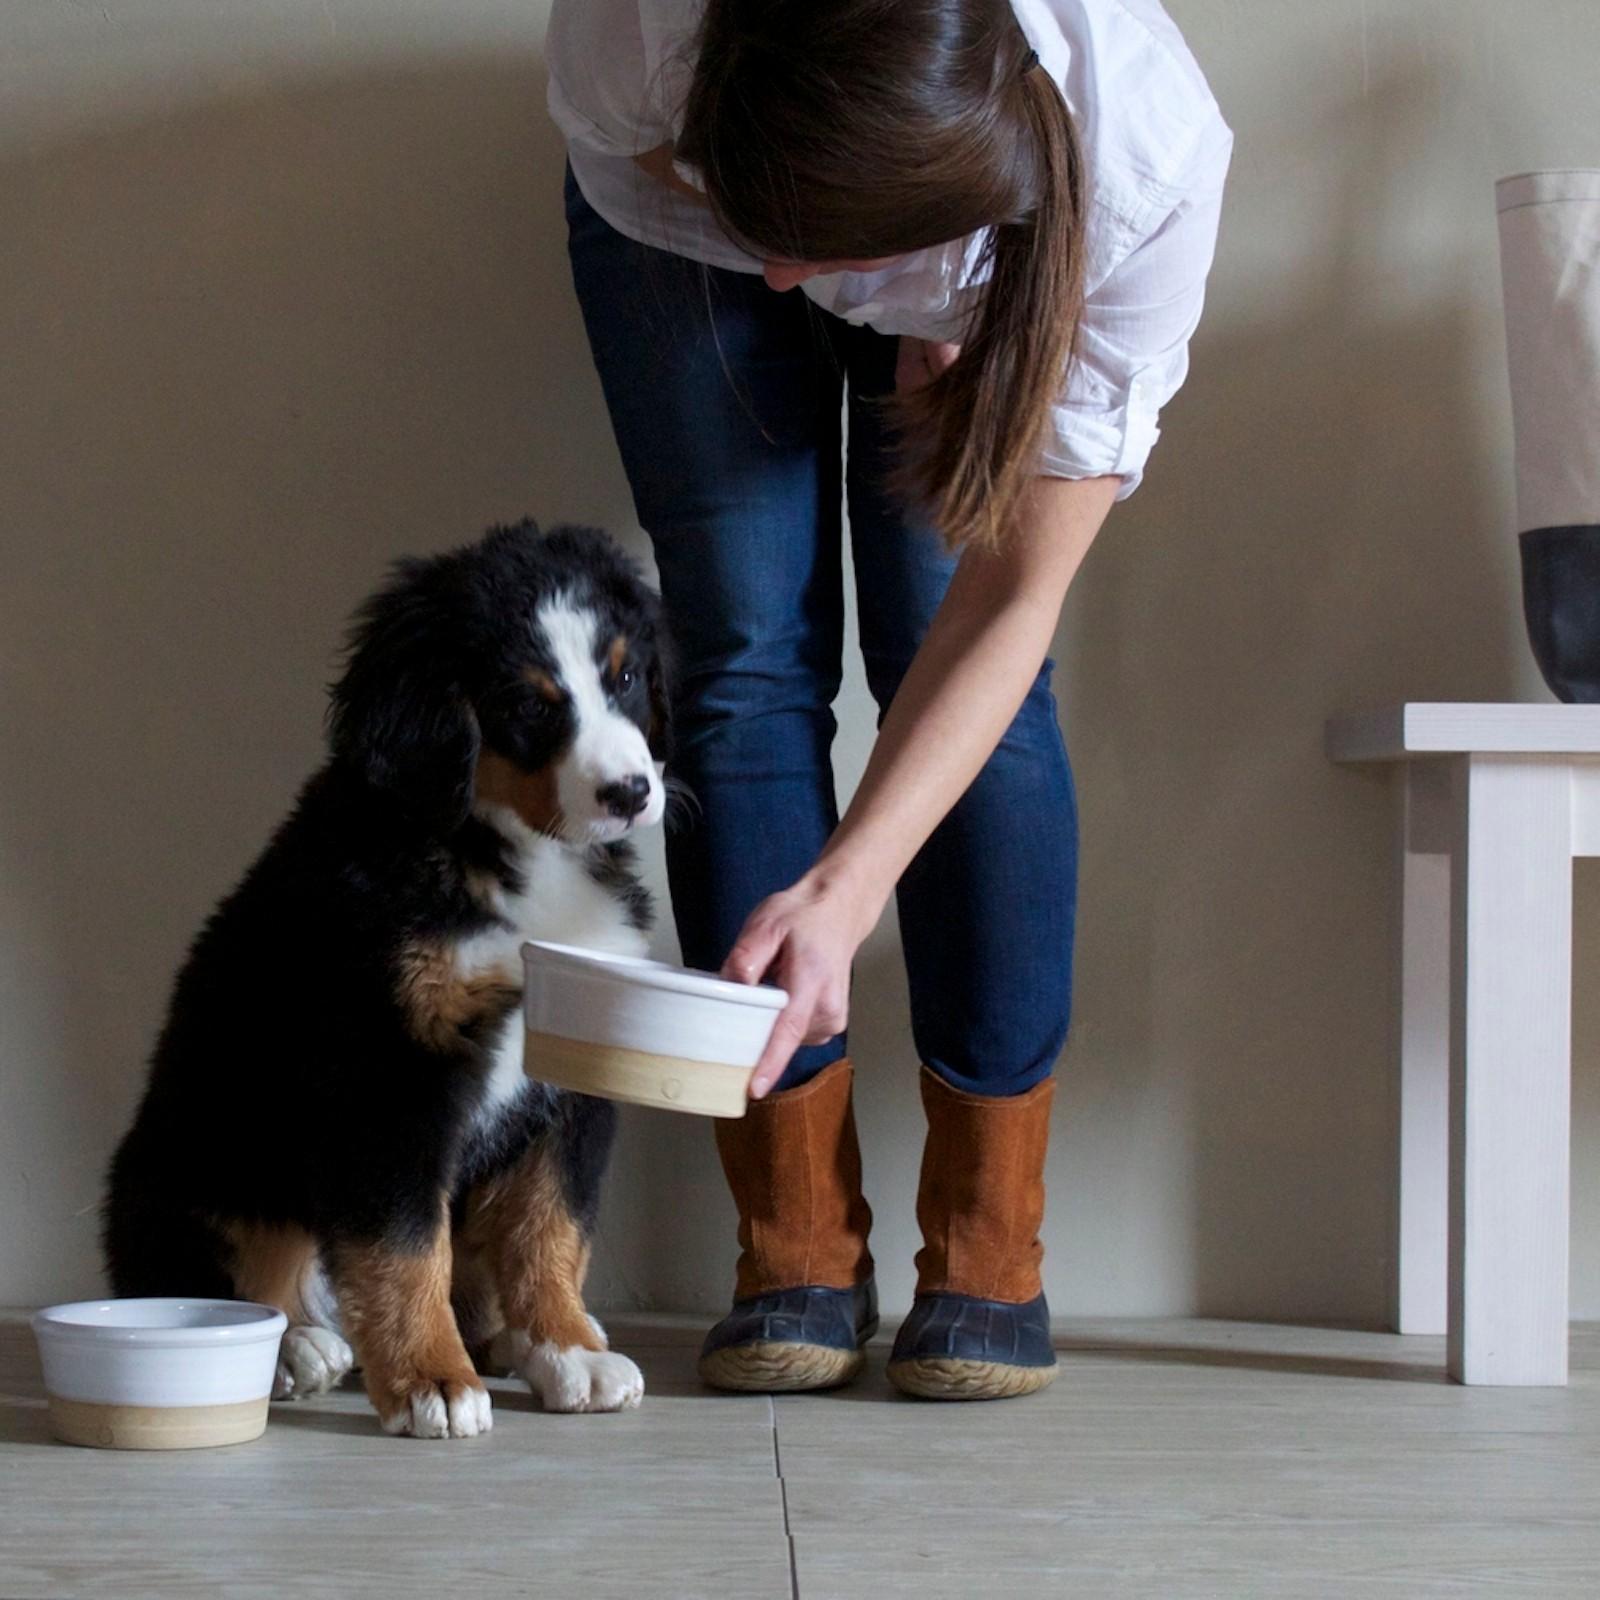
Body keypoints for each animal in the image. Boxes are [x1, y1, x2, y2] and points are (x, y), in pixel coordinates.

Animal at [101, 521, 668, 1440]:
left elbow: (551, 1224)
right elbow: (403, 1243)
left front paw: (567, 1349)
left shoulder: (575, 1074)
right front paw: (433, 1379)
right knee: (227, 1274)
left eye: (623, 676)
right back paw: (295, 1348)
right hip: (204, 1165)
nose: (631, 792)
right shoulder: (383, 1068)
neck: (508, 855)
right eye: (529, 704)